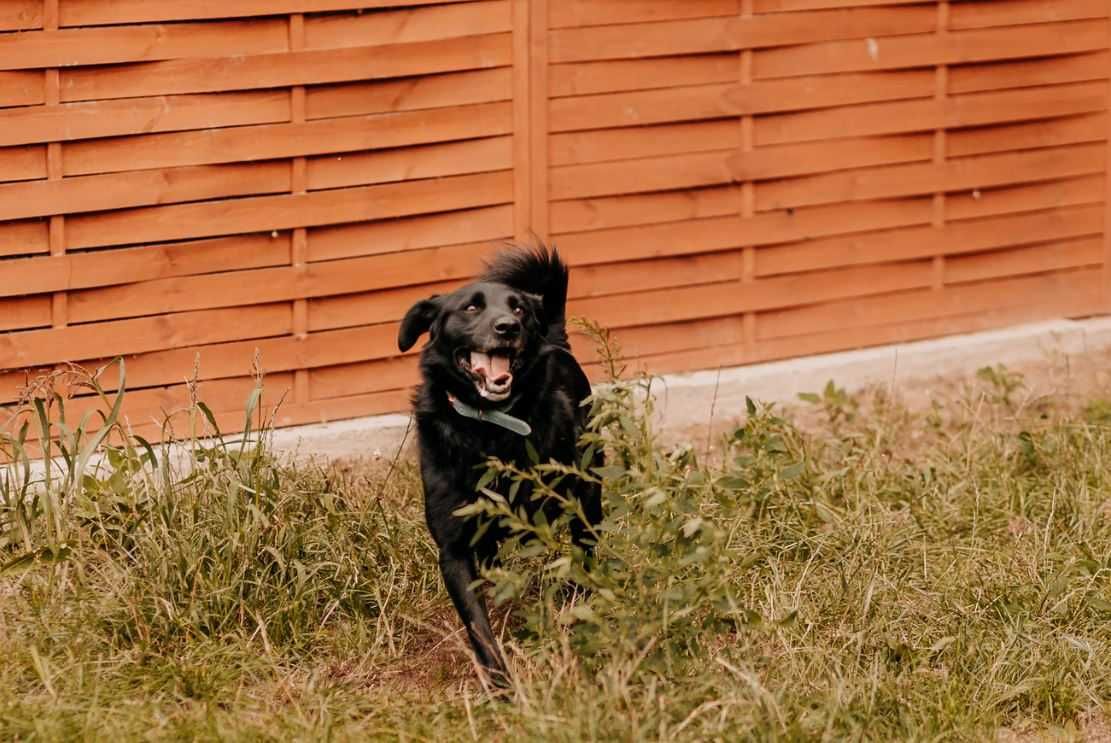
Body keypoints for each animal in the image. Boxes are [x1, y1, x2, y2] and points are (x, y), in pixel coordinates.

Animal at [399, 242, 604, 684]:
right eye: (471, 307)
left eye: (520, 309)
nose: (508, 327)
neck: (486, 426)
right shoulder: (454, 549)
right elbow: (479, 626)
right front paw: (501, 685)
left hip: (588, 488)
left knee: (586, 543)